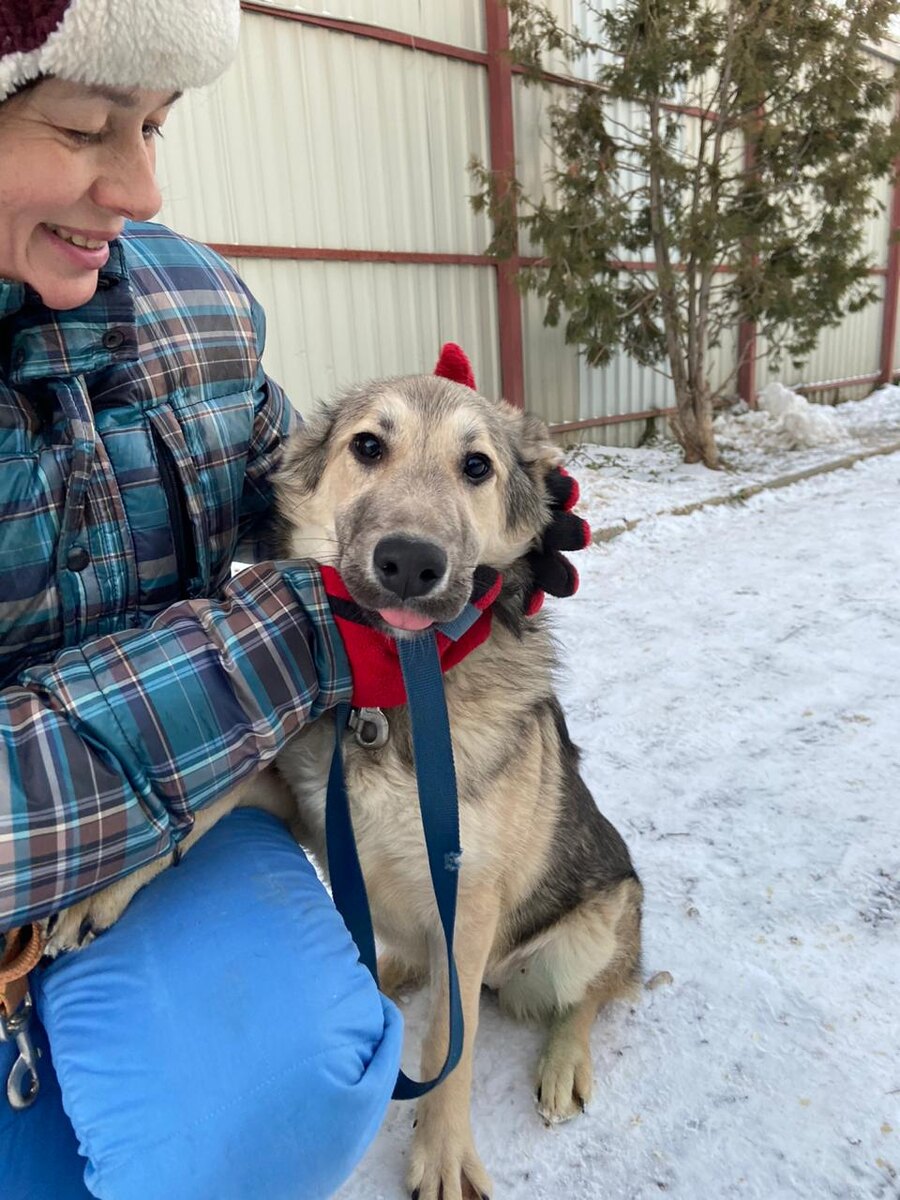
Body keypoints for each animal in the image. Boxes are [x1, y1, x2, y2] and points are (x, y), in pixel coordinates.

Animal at [47, 364, 643, 1200]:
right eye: (367, 446)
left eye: (477, 466)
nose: (410, 562)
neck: (391, 692)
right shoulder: (300, 806)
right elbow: (213, 797)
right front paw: (102, 888)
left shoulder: (468, 897)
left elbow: (449, 1047)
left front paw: (442, 1152)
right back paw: (382, 974)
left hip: (596, 922)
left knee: (591, 995)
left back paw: (563, 1063)